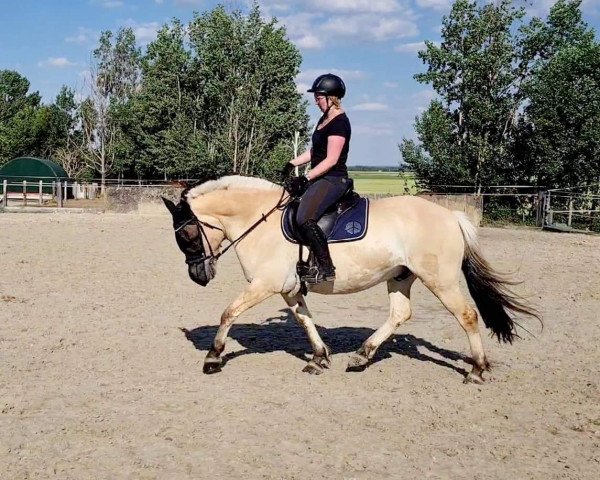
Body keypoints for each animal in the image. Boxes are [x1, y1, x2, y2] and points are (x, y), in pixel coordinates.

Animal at [163, 176, 540, 382]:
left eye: (188, 236)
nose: (199, 276)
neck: (260, 220)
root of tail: (451, 216)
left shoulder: (264, 285)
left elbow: (229, 312)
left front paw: (213, 358)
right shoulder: (288, 290)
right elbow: (305, 320)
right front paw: (319, 358)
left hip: (440, 280)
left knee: (467, 316)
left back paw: (477, 369)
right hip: (400, 277)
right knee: (400, 314)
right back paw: (362, 355)